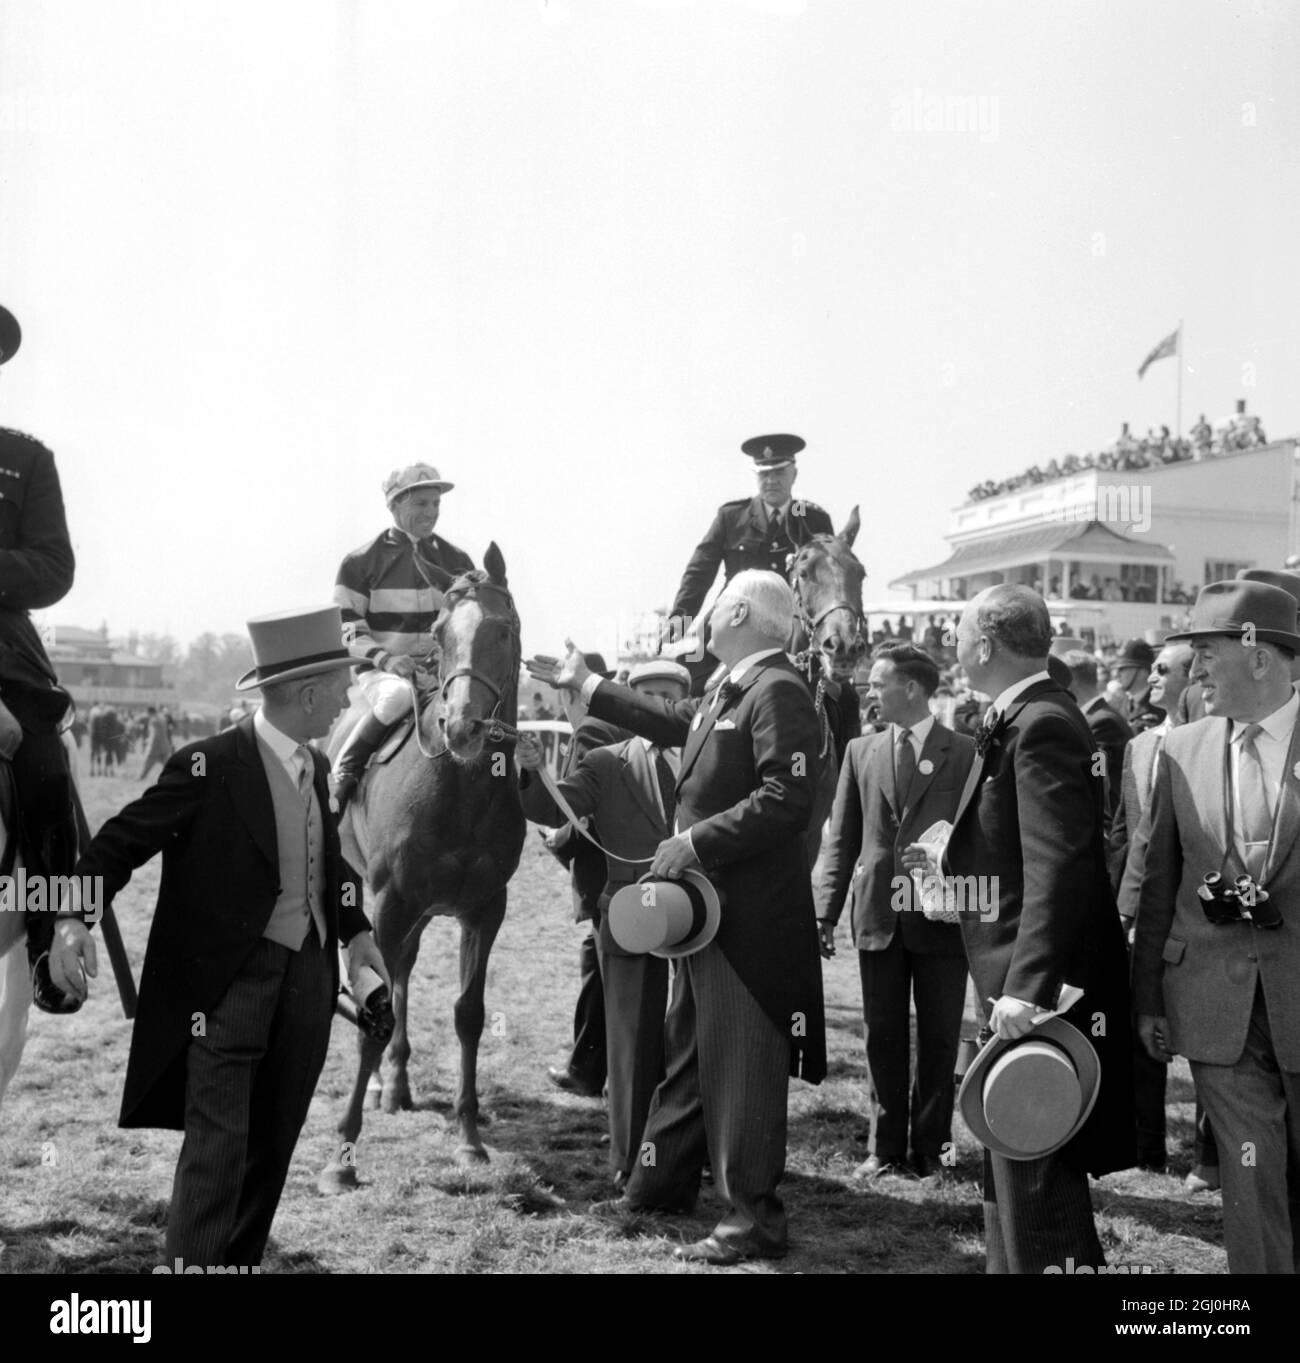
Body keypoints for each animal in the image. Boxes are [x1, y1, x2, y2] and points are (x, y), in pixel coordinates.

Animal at [317, 537, 523, 1188]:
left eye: (504, 629)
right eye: (438, 630)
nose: (461, 727)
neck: (457, 786)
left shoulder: (484, 909)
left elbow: (468, 1014)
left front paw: (469, 1140)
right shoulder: (389, 902)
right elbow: (375, 1008)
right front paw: (342, 1156)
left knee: (404, 973)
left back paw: (398, 1082)